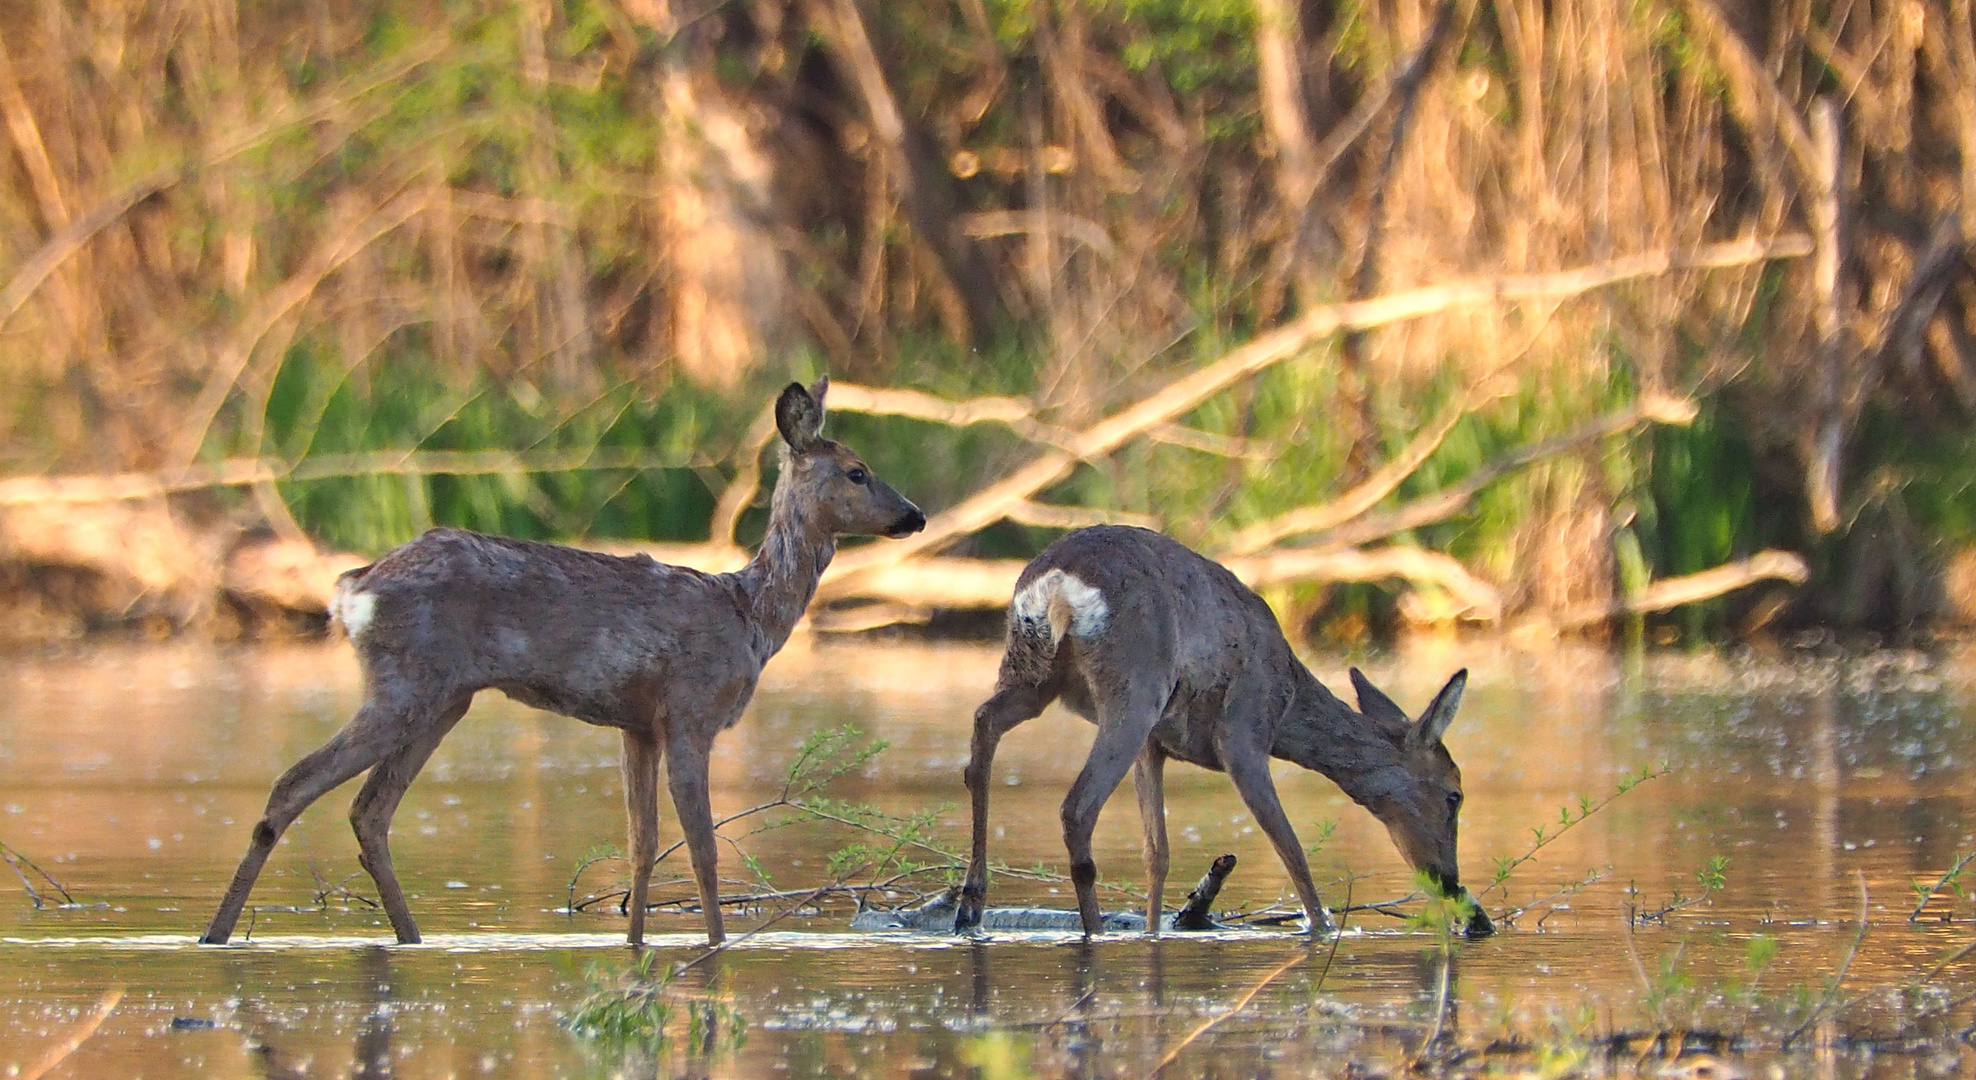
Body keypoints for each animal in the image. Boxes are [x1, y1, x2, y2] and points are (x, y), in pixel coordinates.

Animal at [200, 379, 924, 947]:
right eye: (857, 470)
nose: (915, 514)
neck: (750, 614)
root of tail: (352, 588)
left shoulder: (639, 725)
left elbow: (641, 845)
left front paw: (636, 947)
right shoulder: (692, 710)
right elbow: (703, 849)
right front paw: (716, 946)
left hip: (443, 697)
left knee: (369, 810)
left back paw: (409, 937)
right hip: (406, 684)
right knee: (295, 783)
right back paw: (217, 935)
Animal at [948, 529, 1485, 943]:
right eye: (1454, 794)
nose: (1450, 880)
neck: (1287, 702)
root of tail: (1057, 582)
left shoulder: (1156, 745)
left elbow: (1158, 854)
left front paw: (1154, 931)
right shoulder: (1243, 734)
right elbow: (1290, 846)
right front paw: (1323, 930)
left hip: (1034, 672)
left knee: (983, 727)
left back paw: (970, 904)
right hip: (1134, 684)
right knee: (1077, 806)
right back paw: (1092, 930)